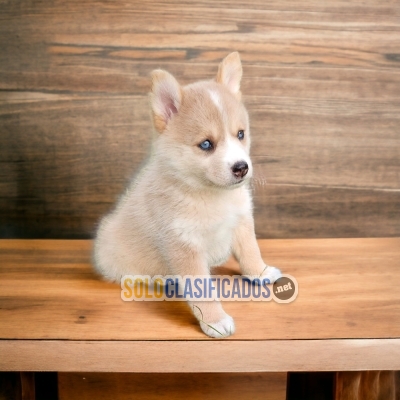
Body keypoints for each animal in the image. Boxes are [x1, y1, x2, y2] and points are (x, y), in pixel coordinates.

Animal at [93, 50, 282, 338]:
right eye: (206, 144)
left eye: (240, 134)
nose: (241, 167)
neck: (212, 196)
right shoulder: (185, 245)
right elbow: (202, 290)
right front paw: (215, 320)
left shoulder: (241, 221)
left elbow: (250, 252)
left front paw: (260, 273)